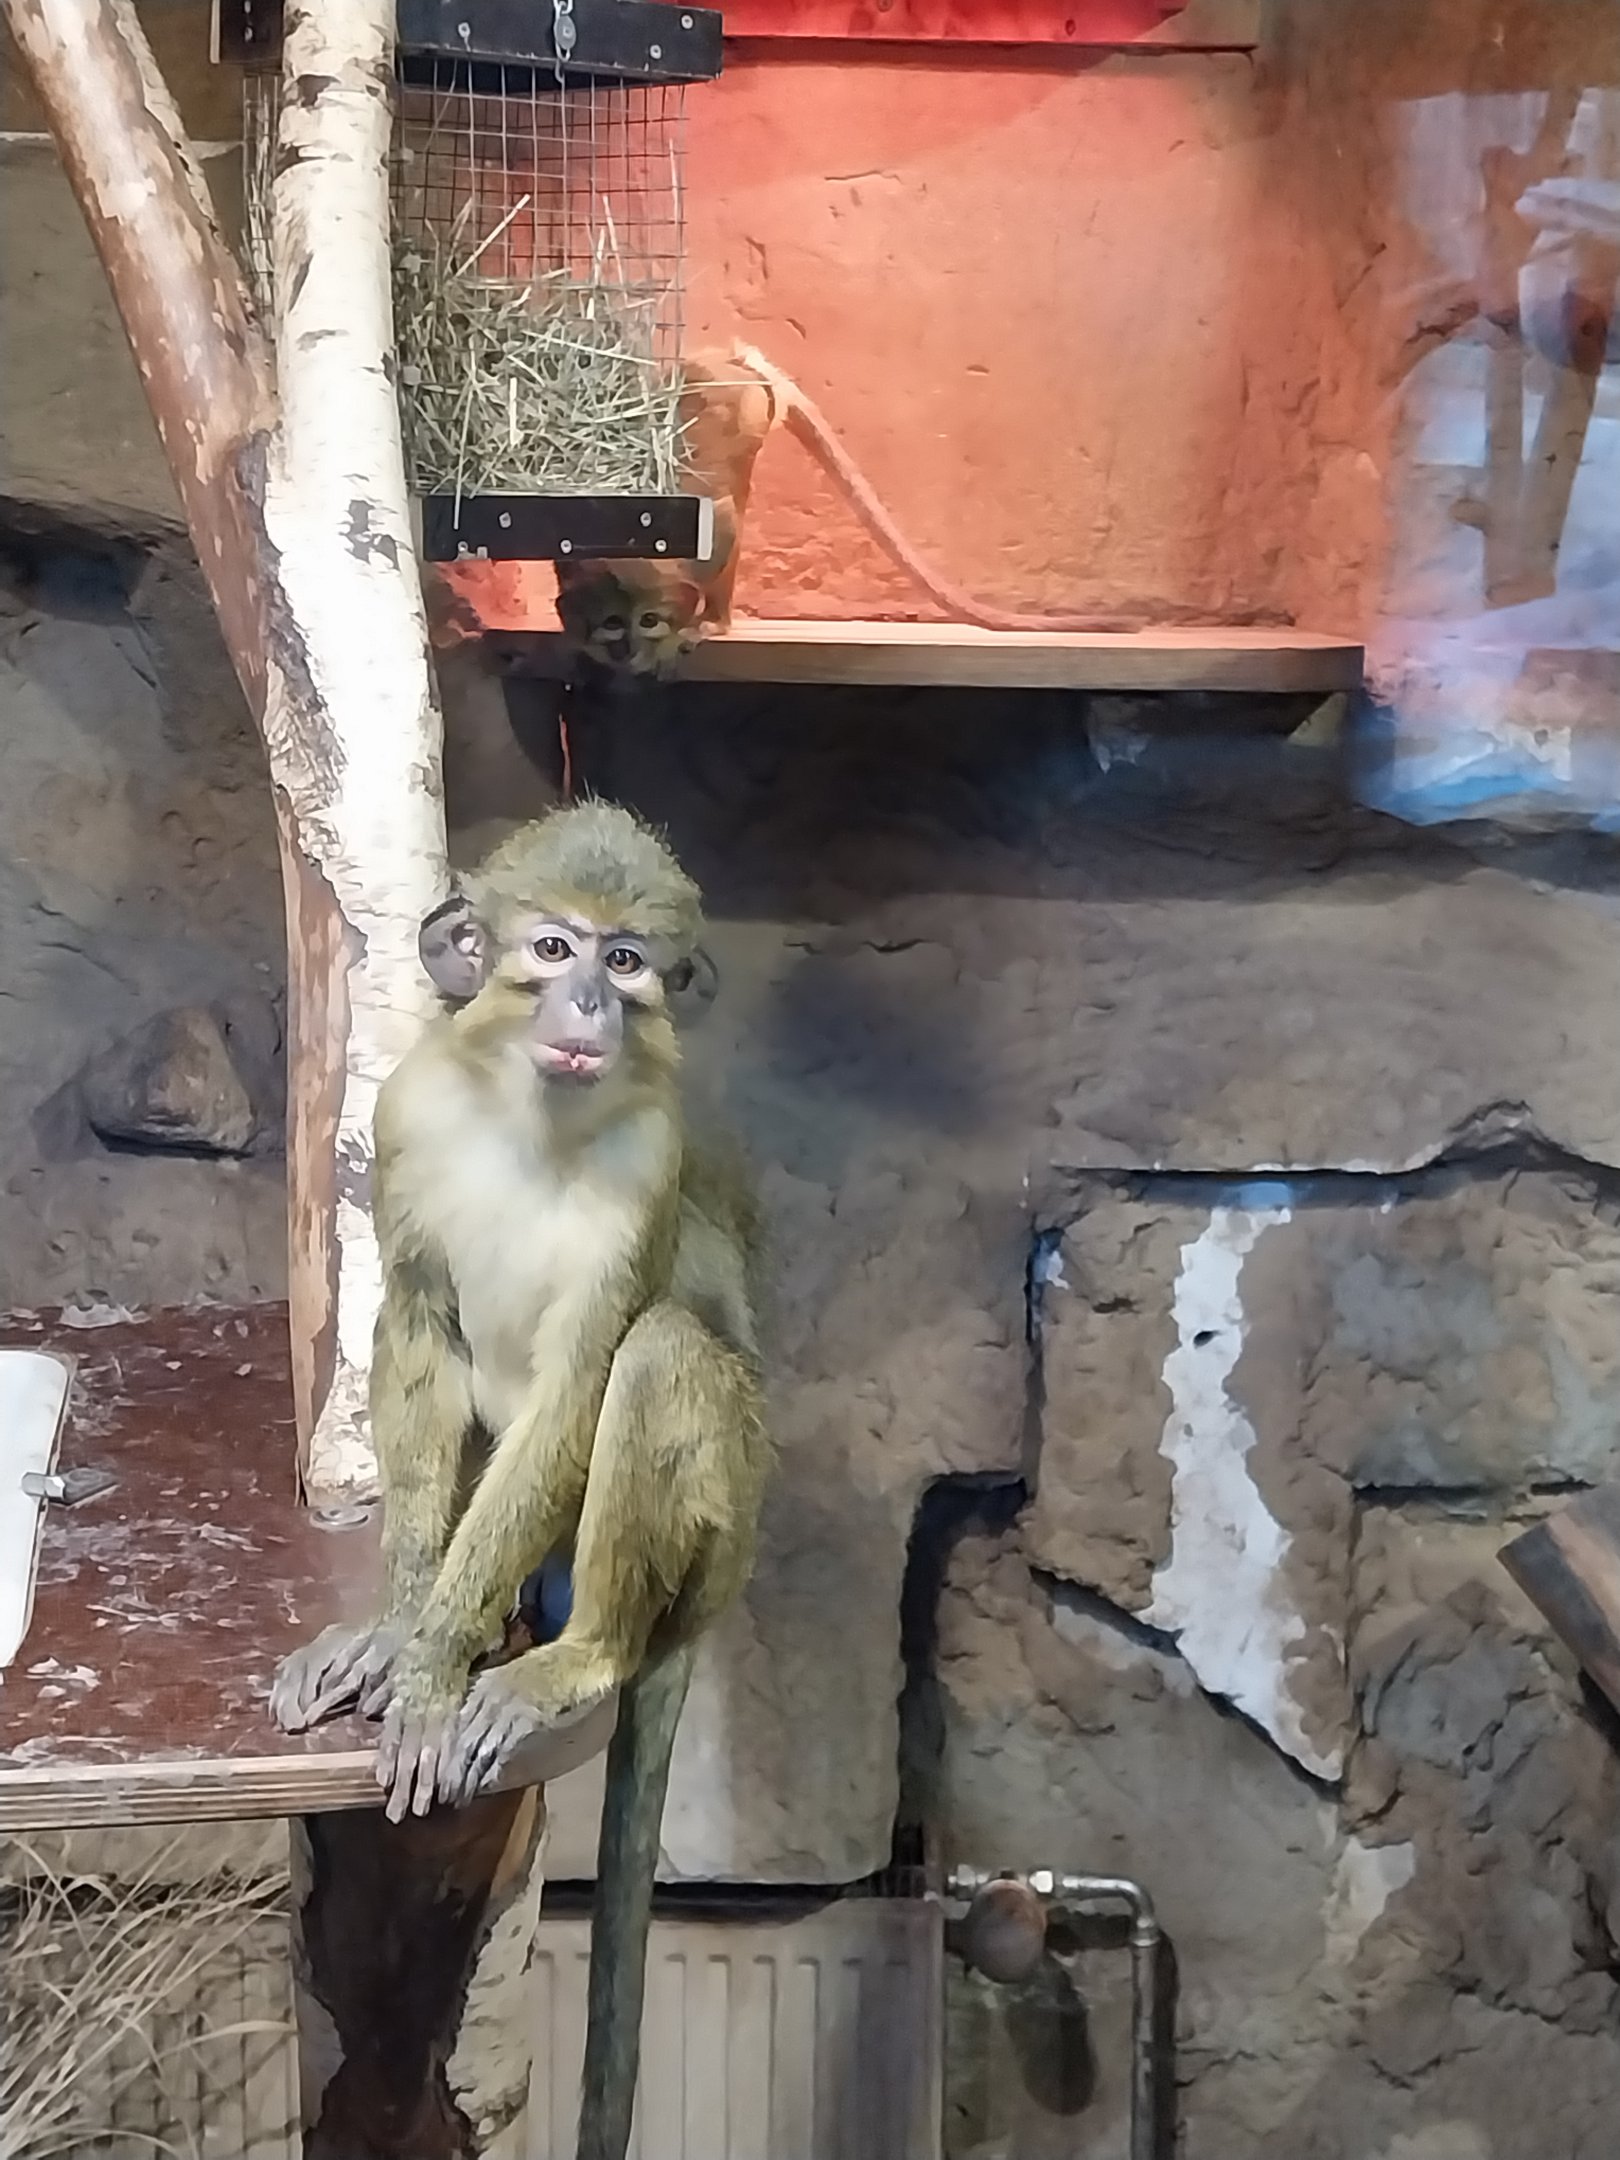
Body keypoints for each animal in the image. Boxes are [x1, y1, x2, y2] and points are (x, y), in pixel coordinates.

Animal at [270, 803, 768, 2160]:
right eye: (553, 947)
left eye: (629, 960)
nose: (591, 1001)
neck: (528, 1113)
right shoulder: (408, 1112)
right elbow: (419, 1326)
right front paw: (403, 1632)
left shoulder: (649, 1158)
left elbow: (581, 1380)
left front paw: (431, 1668)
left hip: (718, 1528)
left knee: (661, 1354)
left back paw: (578, 1653)